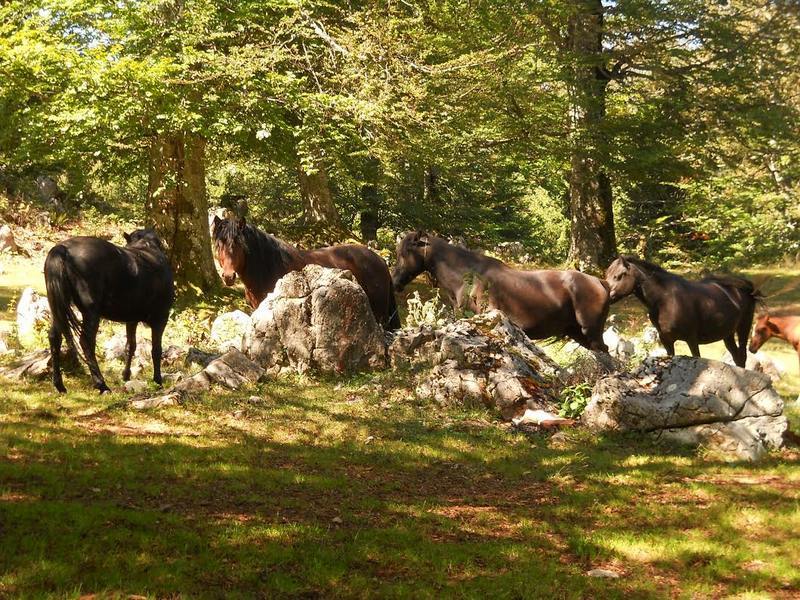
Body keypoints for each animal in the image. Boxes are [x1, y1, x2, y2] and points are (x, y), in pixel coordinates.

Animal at [44, 230, 174, 394]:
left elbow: (130, 346)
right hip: (90, 312)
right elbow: (156, 350)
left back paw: (59, 385)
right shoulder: (161, 318)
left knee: (54, 337)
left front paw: (126, 375)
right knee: (86, 342)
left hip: (59, 307)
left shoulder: (132, 319)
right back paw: (101, 384)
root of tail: (63, 249)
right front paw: (158, 380)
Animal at [604, 254, 760, 366]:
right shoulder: (666, 341)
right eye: (607, 275)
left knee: (742, 357)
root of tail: (745, 288)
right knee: (737, 357)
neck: (665, 300)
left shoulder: (691, 340)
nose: (606, 294)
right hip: (727, 334)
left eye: (619, 275)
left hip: (743, 328)